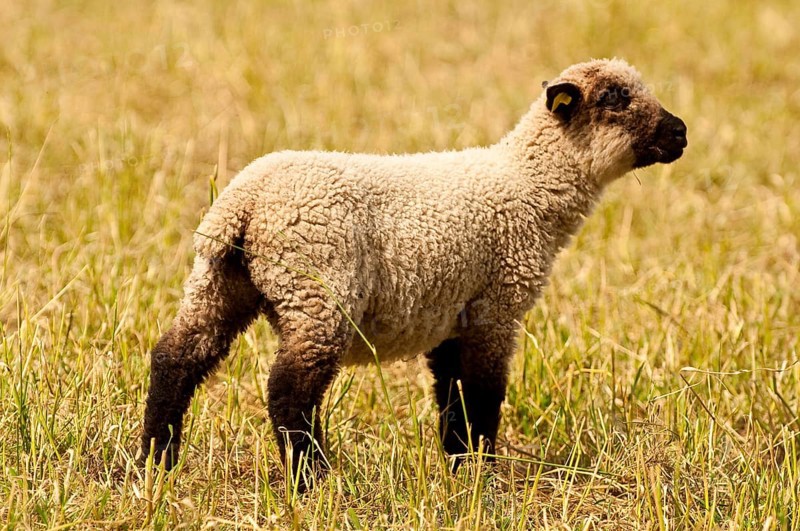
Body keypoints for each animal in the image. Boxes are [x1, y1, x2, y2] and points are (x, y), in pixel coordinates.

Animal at [139, 58, 687, 487]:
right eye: (616, 98)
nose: (681, 132)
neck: (529, 187)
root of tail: (242, 204)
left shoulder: (454, 315)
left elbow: (452, 398)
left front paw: (460, 468)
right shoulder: (495, 309)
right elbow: (483, 395)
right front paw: (485, 474)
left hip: (220, 282)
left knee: (175, 358)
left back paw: (155, 461)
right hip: (317, 289)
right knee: (288, 391)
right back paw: (313, 480)